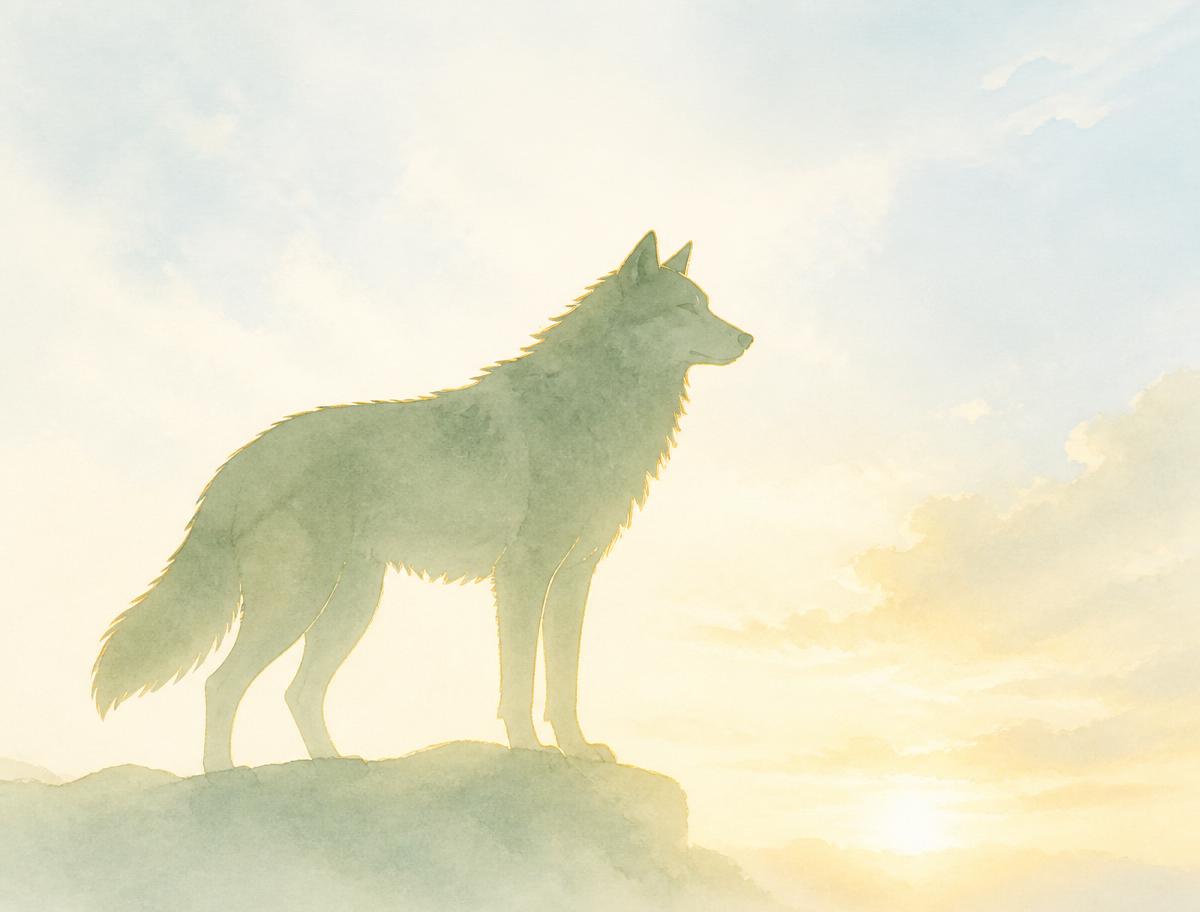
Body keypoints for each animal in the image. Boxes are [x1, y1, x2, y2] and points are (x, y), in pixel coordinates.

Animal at [92, 231, 752, 771]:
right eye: (686, 308)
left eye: (707, 305)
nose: (748, 337)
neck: (594, 403)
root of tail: (238, 461)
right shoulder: (523, 574)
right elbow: (519, 680)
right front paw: (529, 750)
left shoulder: (575, 578)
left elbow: (563, 682)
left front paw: (578, 750)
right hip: (298, 603)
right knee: (223, 685)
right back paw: (225, 778)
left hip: (352, 605)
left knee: (297, 692)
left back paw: (336, 765)